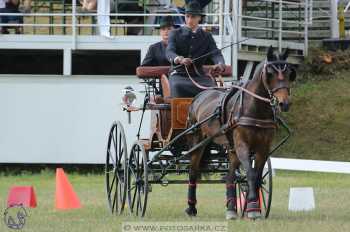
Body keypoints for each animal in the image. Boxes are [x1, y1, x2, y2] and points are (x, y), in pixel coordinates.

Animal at [186, 46, 296, 219]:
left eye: (289, 73)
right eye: (270, 73)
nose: (284, 103)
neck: (255, 109)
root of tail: (198, 96)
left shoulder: (263, 148)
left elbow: (257, 176)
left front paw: (253, 207)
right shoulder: (242, 145)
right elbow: (250, 174)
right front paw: (253, 208)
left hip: (231, 148)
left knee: (230, 175)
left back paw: (231, 209)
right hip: (197, 141)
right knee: (193, 171)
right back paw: (191, 207)